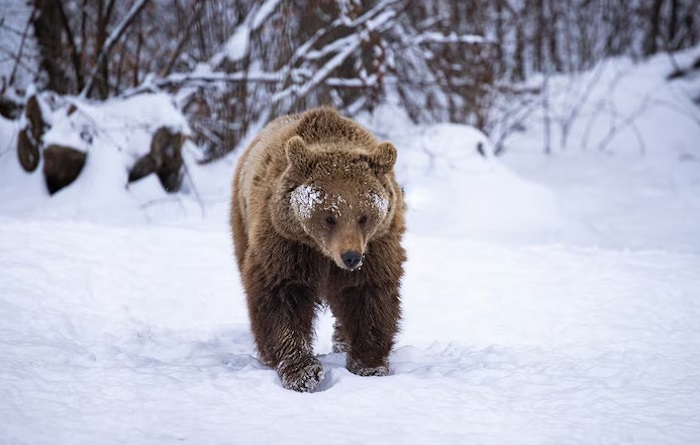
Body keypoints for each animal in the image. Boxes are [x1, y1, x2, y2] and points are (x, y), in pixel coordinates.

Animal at [230, 107, 406, 392]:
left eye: (364, 216)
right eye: (329, 217)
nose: (350, 257)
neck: (322, 253)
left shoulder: (377, 246)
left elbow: (369, 295)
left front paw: (368, 365)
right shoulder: (287, 243)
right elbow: (281, 296)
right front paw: (303, 372)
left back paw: (341, 340)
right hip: (242, 221)